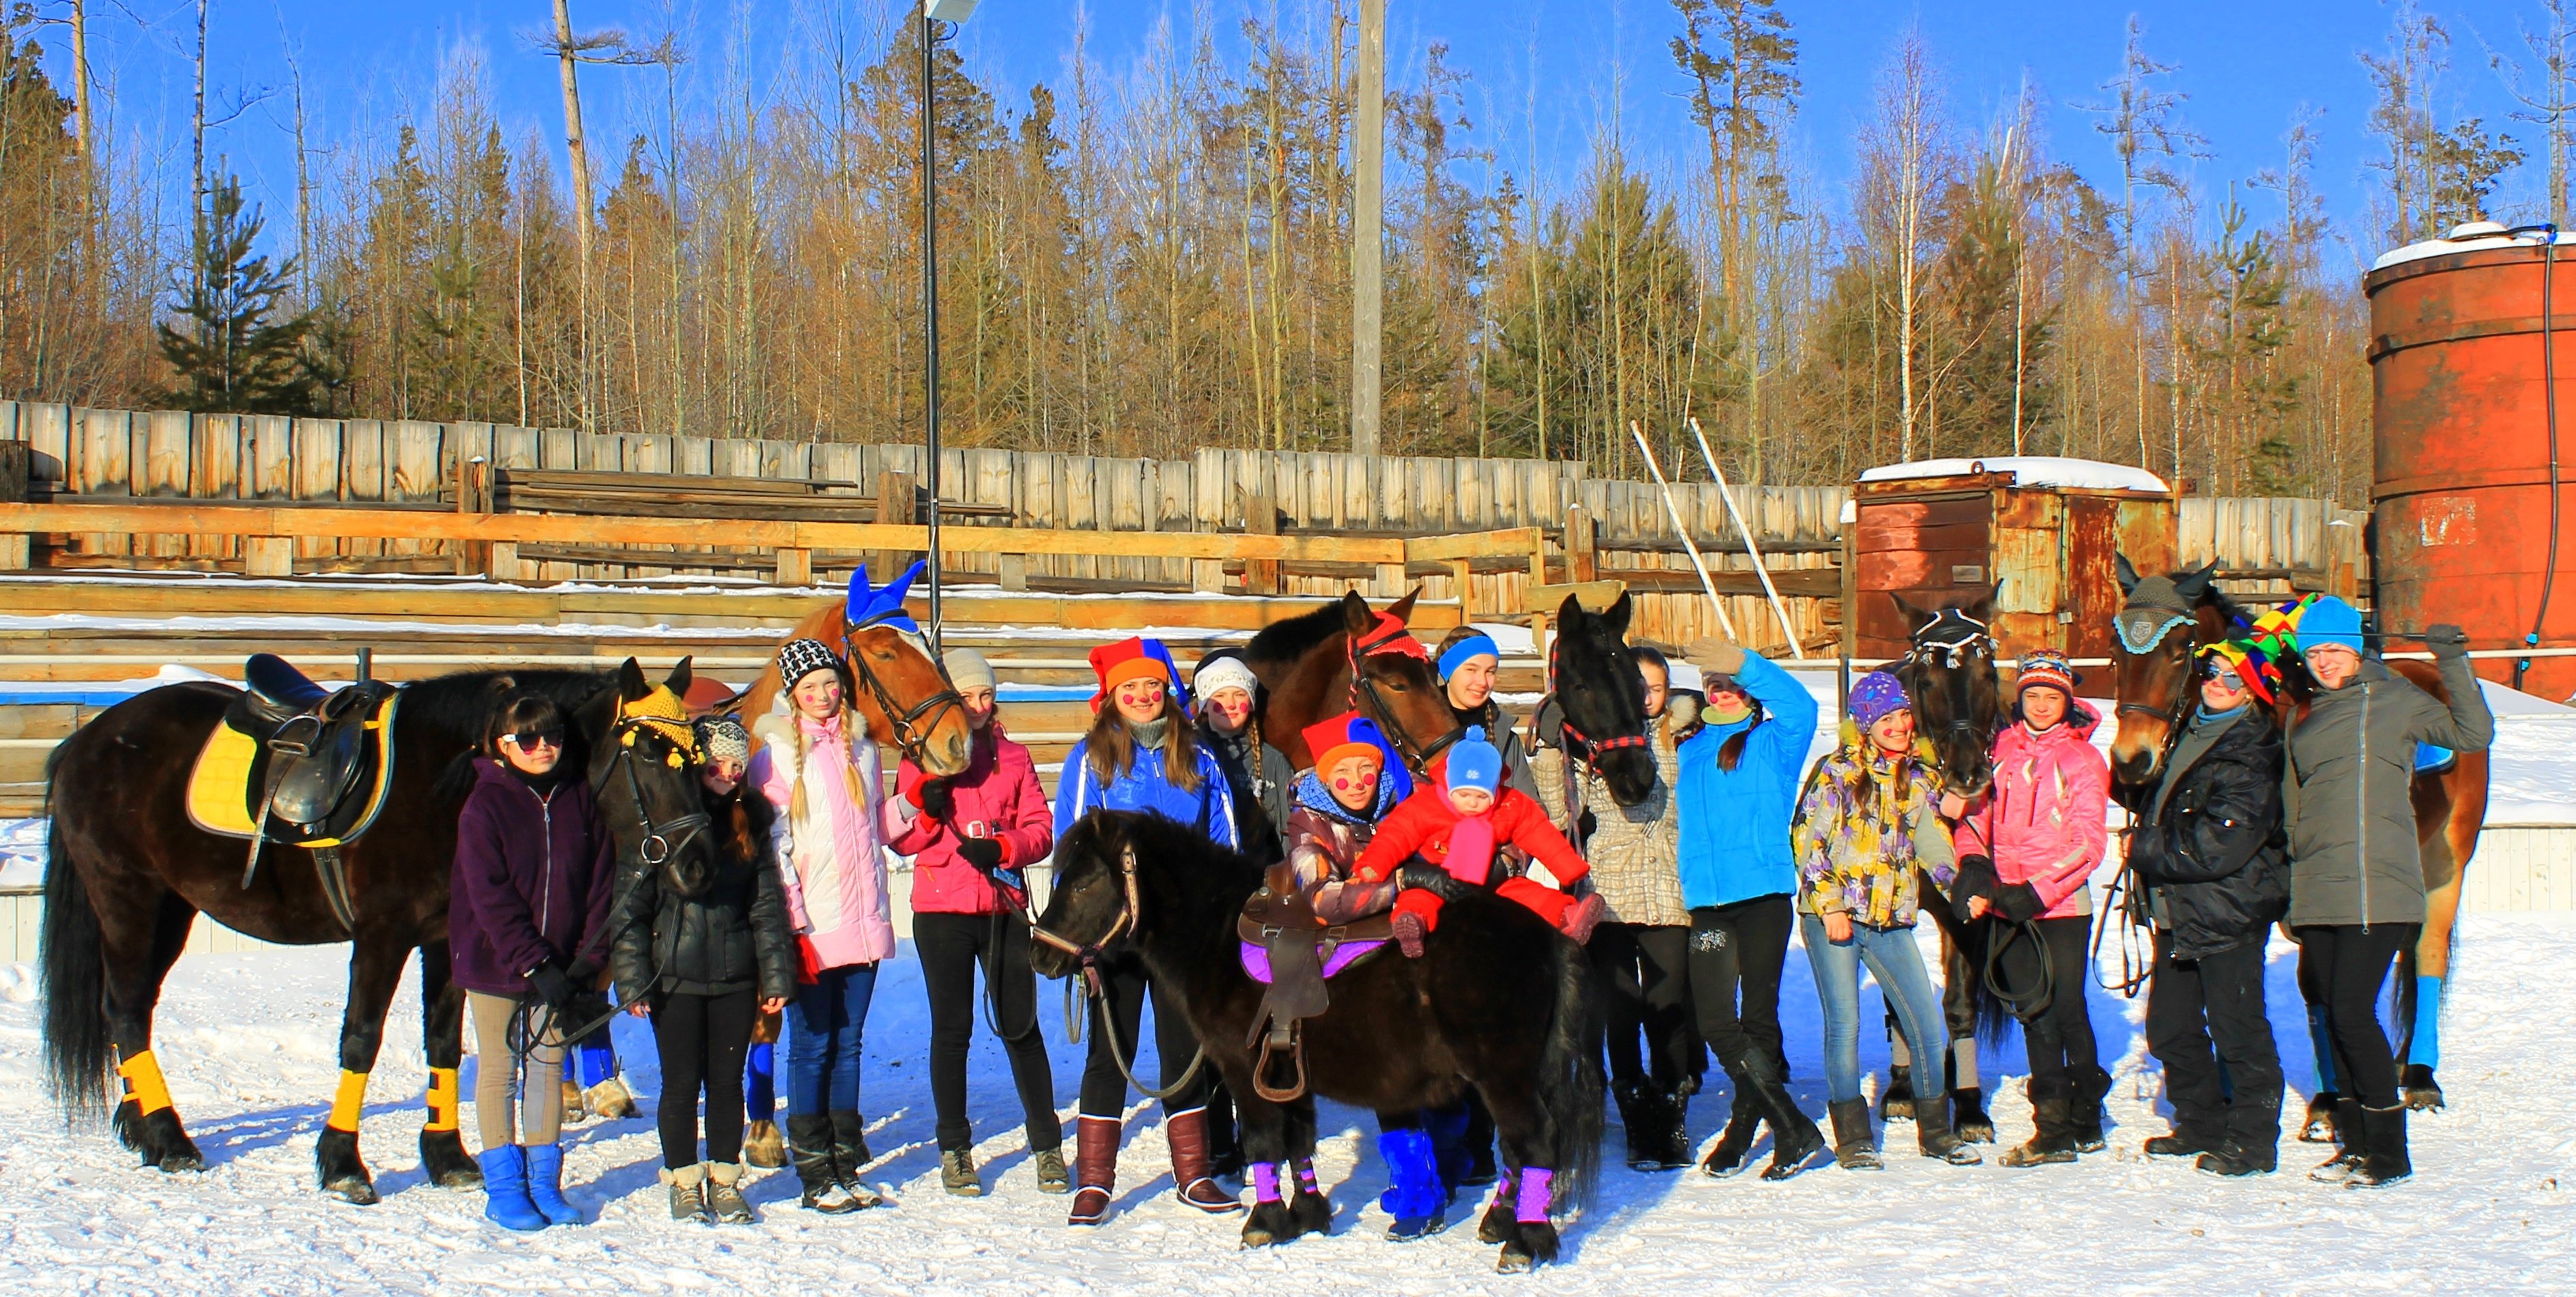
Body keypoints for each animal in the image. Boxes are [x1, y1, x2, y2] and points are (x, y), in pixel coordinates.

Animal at [40, 658, 721, 1204]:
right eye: (647, 756)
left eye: (694, 759)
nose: (698, 865)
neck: (444, 784)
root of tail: (87, 738)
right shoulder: (382, 935)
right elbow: (361, 1041)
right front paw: (343, 1162)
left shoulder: (447, 937)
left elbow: (443, 1043)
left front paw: (447, 1156)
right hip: (129, 898)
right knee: (127, 1009)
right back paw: (167, 1136)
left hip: (170, 908)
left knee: (129, 1010)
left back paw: (142, 1125)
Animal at [1030, 813, 1597, 1276]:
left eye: (1084, 882)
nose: (1040, 955)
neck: (1217, 937)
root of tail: (1544, 934)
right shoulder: (1285, 1072)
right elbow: (1297, 1141)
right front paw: (1305, 1215)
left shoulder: (1243, 1070)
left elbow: (1262, 1141)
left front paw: (1262, 1222)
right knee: (1516, 1148)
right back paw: (1500, 1223)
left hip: (1503, 1075)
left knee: (1534, 1140)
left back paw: (1524, 1241)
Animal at [2112, 558, 2493, 1127]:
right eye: (2115, 649)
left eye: (2180, 650)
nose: (2130, 761)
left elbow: (2313, 984)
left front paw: (2329, 1100)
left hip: (2448, 861)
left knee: (2426, 954)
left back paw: (2421, 1075)